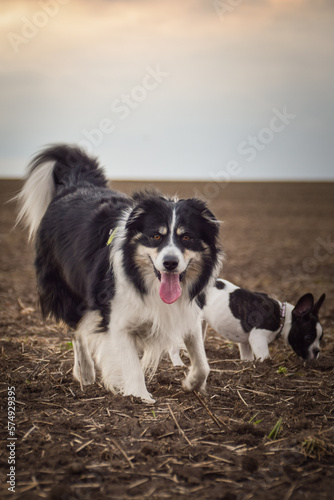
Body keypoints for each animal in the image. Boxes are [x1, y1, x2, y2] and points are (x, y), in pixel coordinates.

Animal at [17, 144, 222, 402]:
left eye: (186, 237)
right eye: (156, 236)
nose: (170, 263)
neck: (141, 278)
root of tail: (75, 184)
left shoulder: (187, 310)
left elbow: (203, 361)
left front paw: (192, 383)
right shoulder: (117, 319)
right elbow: (131, 364)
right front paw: (139, 397)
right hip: (66, 290)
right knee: (77, 332)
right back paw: (85, 372)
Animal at [171, 278, 324, 364]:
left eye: (321, 339)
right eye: (308, 337)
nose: (317, 351)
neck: (282, 315)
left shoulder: (246, 342)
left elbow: (246, 355)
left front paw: (247, 363)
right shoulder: (258, 338)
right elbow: (264, 356)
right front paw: (265, 364)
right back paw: (178, 364)